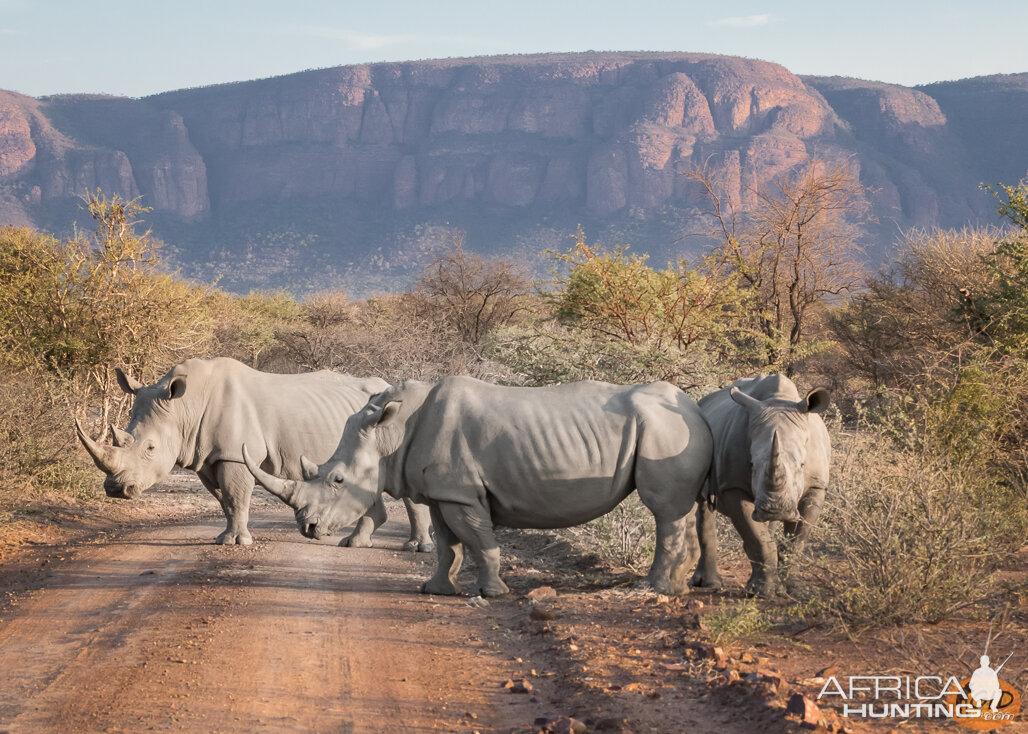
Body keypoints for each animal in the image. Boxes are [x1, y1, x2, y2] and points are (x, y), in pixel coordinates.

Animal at [73, 353, 433, 551]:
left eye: (150, 448)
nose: (115, 489)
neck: (184, 408)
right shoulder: (208, 455)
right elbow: (225, 500)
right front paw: (225, 537)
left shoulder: (234, 454)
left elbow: (235, 496)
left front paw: (237, 543)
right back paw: (358, 542)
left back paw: (416, 548)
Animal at [240, 378, 711, 596]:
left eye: (337, 480)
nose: (308, 530)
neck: (389, 434)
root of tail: (696, 408)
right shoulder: (442, 493)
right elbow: (449, 545)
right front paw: (435, 590)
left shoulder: (462, 493)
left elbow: (480, 542)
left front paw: (491, 592)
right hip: (670, 428)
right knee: (680, 510)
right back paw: (678, 587)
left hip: (664, 428)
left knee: (664, 509)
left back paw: (652, 589)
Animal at [686, 374, 830, 596]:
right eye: (751, 464)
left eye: (802, 464)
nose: (775, 509)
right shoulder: (733, 486)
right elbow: (756, 537)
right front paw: (763, 592)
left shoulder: (817, 486)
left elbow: (797, 539)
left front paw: (796, 590)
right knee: (703, 506)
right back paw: (709, 584)